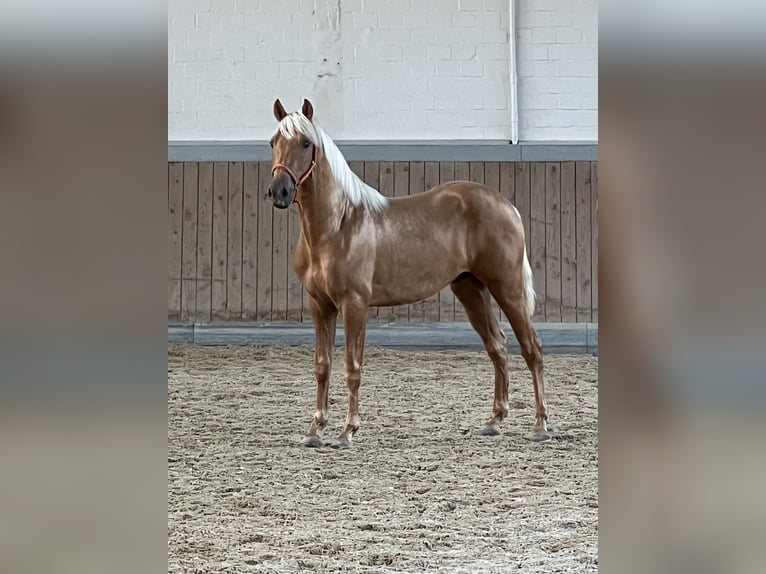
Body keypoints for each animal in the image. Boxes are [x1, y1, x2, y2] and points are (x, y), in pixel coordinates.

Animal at [268, 99, 548, 450]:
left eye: (306, 143)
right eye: (273, 142)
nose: (278, 191)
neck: (338, 226)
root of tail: (506, 206)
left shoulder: (354, 305)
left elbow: (352, 368)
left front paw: (347, 432)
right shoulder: (320, 305)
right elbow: (323, 366)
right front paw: (314, 431)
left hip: (506, 288)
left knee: (532, 348)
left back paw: (540, 425)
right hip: (471, 290)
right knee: (497, 346)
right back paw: (494, 421)